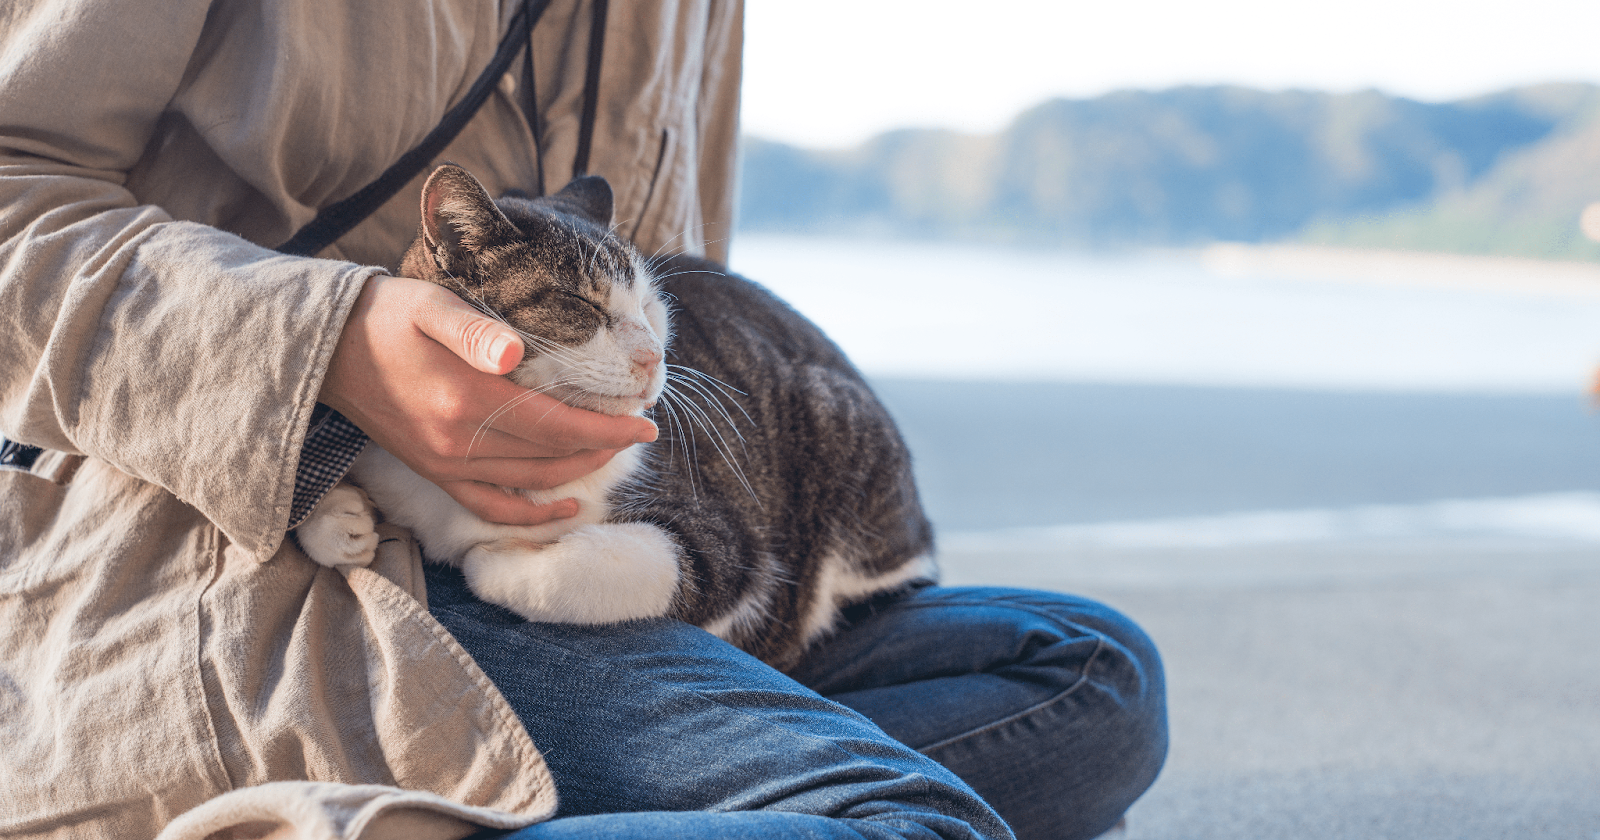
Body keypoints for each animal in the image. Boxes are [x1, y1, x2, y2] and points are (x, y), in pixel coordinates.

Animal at [297, 160, 934, 665]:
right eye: (579, 302)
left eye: (651, 305)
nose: (654, 356)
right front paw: (341, 518)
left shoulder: (733, 548)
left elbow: (598, 570)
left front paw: (492, 561)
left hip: (833, 423)